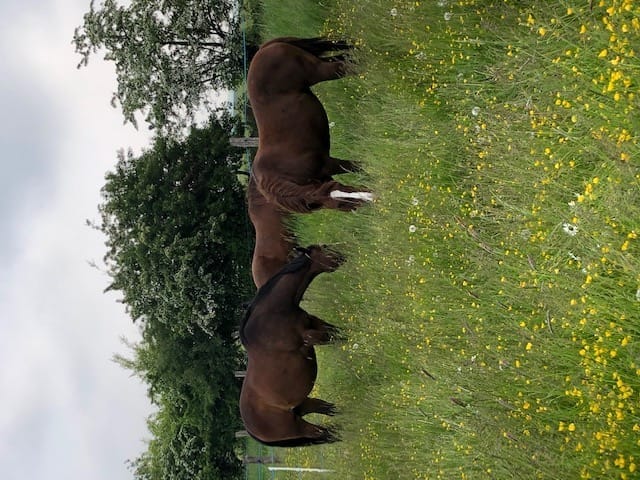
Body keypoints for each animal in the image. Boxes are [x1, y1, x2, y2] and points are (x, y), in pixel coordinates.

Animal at [239, 245, 343, 446]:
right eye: (324, 250)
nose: (342, 256)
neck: (275, 313)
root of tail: (250, 430)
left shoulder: (316, 324)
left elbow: (341, 332)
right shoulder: (312, 336)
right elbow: (338, 337)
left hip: (303, 406)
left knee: (325, 410)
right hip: (298, 427)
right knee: (324, 434)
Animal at [248, 37, 373, 213]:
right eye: (343, 204)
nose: (374, 198)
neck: (284, 174)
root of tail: (264, 49)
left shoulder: (328, 164)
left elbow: (355, 166)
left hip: (320, 70)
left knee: (346, 66)